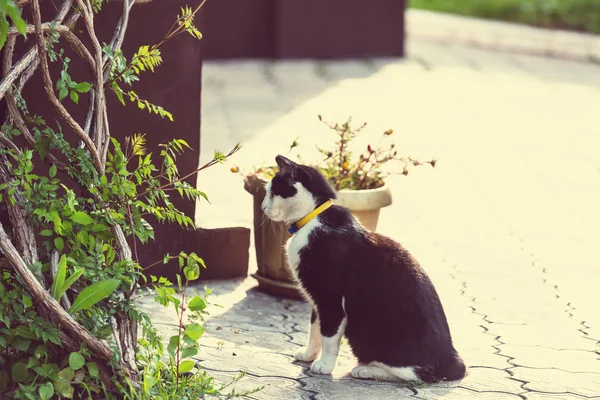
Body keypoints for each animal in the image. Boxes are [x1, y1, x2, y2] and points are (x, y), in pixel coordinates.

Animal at [260, 155, 466, 382]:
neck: (312, 219)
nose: (262, 207)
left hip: (366, 330)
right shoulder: (315, 298)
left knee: (415, 374)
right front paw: (308, 355)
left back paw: (366, 370)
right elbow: (314, 329)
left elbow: (328, 334)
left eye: (272, 192)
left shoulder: (330, 297)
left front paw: (325, 365)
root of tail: (452, 359)